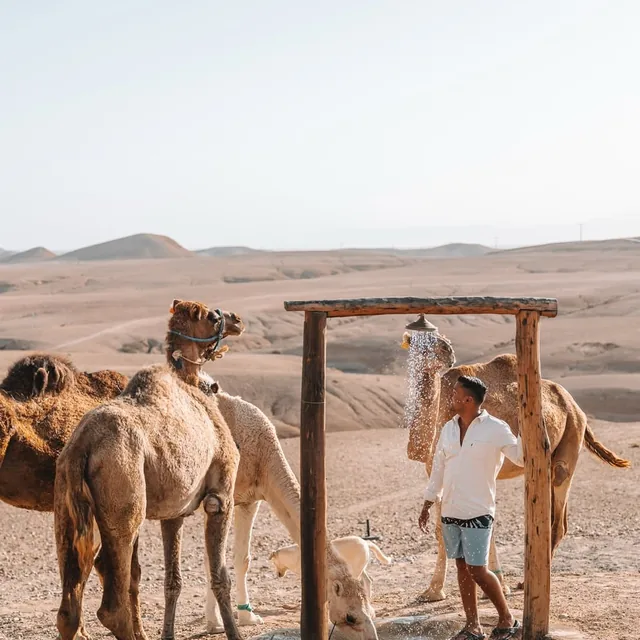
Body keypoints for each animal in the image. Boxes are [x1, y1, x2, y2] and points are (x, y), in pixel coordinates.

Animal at [54, 300, 246, 640]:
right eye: (213, 316)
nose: (236, 320)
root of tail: (81, 448)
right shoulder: (220, 496)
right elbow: (220, 576)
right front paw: (234, 633)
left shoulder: (174, 512)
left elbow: (173, 580)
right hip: (123, 496)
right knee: (111, 606)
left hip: (65, 504)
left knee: (68, 610)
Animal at [401, 330, 630, 602]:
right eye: (420, 340)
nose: (447, 349)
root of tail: (574, 405)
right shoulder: (437, 469)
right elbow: (441, 530)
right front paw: (433, 591)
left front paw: (496, 585)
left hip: (570, 439)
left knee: (558, 509)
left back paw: (528, 581)